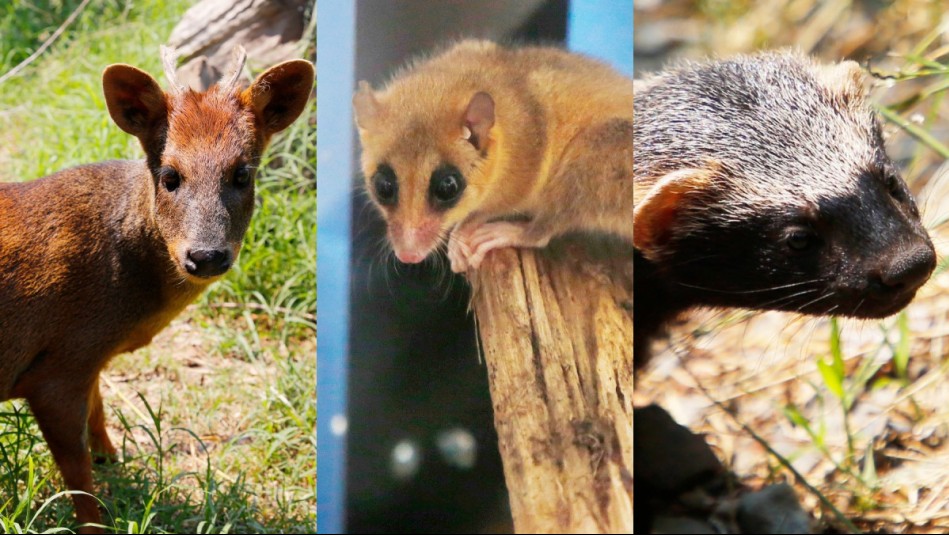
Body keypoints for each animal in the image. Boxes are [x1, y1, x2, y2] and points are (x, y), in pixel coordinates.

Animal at [0, 48, 314, 532]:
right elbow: (78, 476)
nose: (206, 255)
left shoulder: (86, 362)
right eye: (170, 175)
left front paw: (116, 462)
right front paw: (96, 522)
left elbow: (99, 413)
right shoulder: (56, 369)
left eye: (242, 174)